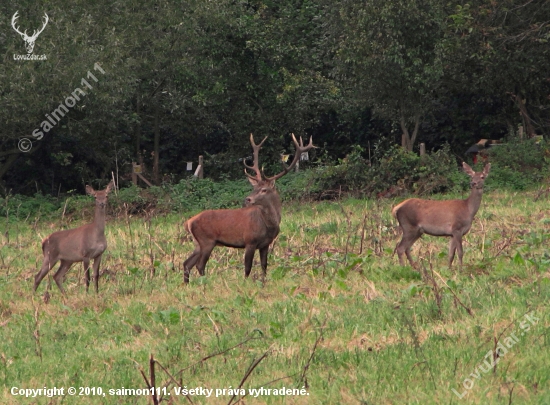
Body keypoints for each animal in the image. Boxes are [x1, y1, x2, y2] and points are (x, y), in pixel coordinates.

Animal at [184, 133, 314, 280]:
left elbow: (264, 266)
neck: (268, 225)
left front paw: (263, 282)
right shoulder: (250, 241)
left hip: (198, 243)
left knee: (187, 263)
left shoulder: (265, 244)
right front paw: (246, 282)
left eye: (263, 190)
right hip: (207, 240)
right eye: (254, 187)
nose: (248, 199)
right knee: (199, 265)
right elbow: (247, 267)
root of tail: (189, 222)